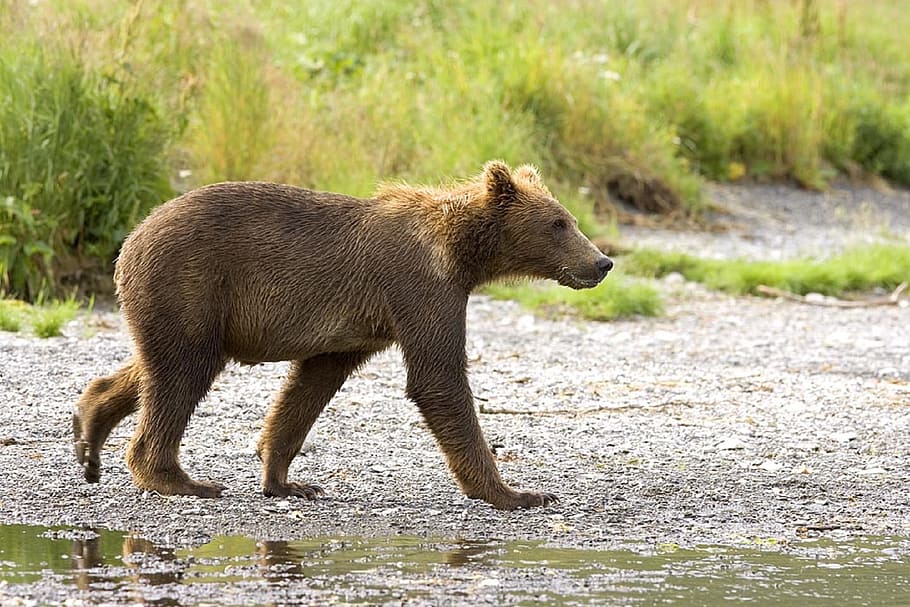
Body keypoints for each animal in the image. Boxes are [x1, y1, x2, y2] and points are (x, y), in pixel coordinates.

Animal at [72, 161, 613, 510]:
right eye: (559, 223)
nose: (602, 261)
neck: (462, 255)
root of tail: (132, 237)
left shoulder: (355, 328)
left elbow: (310, 385)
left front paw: (286, 480)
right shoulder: (419, 288)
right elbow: (438, 380)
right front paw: (518, 492)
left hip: (191, 308)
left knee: (153, 366)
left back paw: (90, 434)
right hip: (191, 284)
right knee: (180, 375)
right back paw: (179, 479)